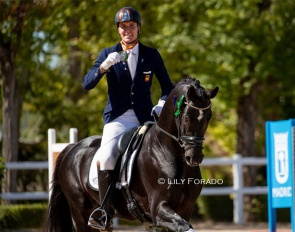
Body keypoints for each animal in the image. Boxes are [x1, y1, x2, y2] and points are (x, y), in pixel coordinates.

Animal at [47, 77, 219, 231]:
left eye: (209, 117)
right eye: (187, 117)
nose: (195, 157)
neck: (169, 152)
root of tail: (73, 147)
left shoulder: (185, 210)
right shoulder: (159, 209)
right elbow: (185, 227)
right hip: (80, 213)